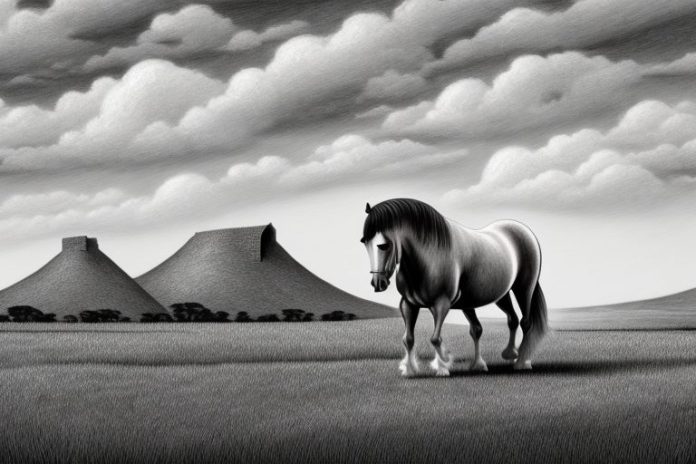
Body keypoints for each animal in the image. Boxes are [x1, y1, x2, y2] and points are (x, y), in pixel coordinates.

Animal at [360, 198, 547, 376]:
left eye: (383, 245)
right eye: (364, 242)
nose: (378, 283)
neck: (430, 254)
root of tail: (522, 229)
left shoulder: (441, 304)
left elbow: (435, 339)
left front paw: (443, 365)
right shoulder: (409, 304)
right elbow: (408, 339)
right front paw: (410, 369)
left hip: (524, 288)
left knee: (525, 322)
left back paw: (523, 362)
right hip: (500, 295)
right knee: (510, 320)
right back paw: (508, 355)